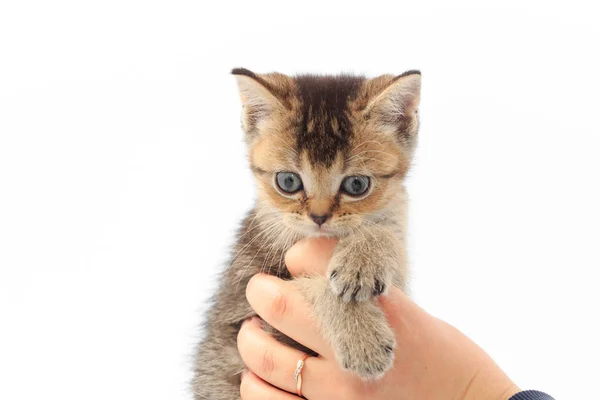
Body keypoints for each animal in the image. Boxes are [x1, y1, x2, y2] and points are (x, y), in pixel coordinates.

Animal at [195, 67, 420, 398]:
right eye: (288, 181)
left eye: (357, 185)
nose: (319, 216)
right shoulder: (247, 303)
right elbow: (307, 283)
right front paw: (363, 339)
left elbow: (383, 232)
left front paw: (362, 261)